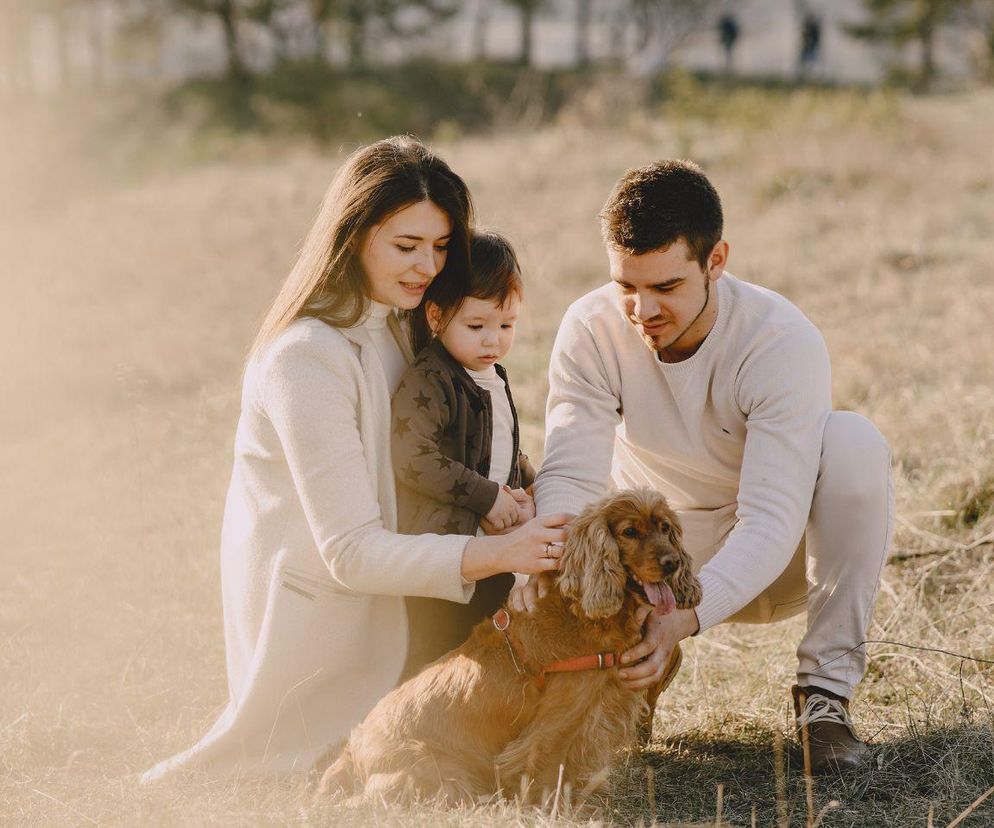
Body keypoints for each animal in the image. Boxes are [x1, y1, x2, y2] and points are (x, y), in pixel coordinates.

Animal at [316, 488, 696, 804]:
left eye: (664, 527)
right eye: (629, 532)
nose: (672, 562)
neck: (583, 614)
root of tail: (351, 751)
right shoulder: (561, 715)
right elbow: (546, 766)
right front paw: (550, 809)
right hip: (442, 777)